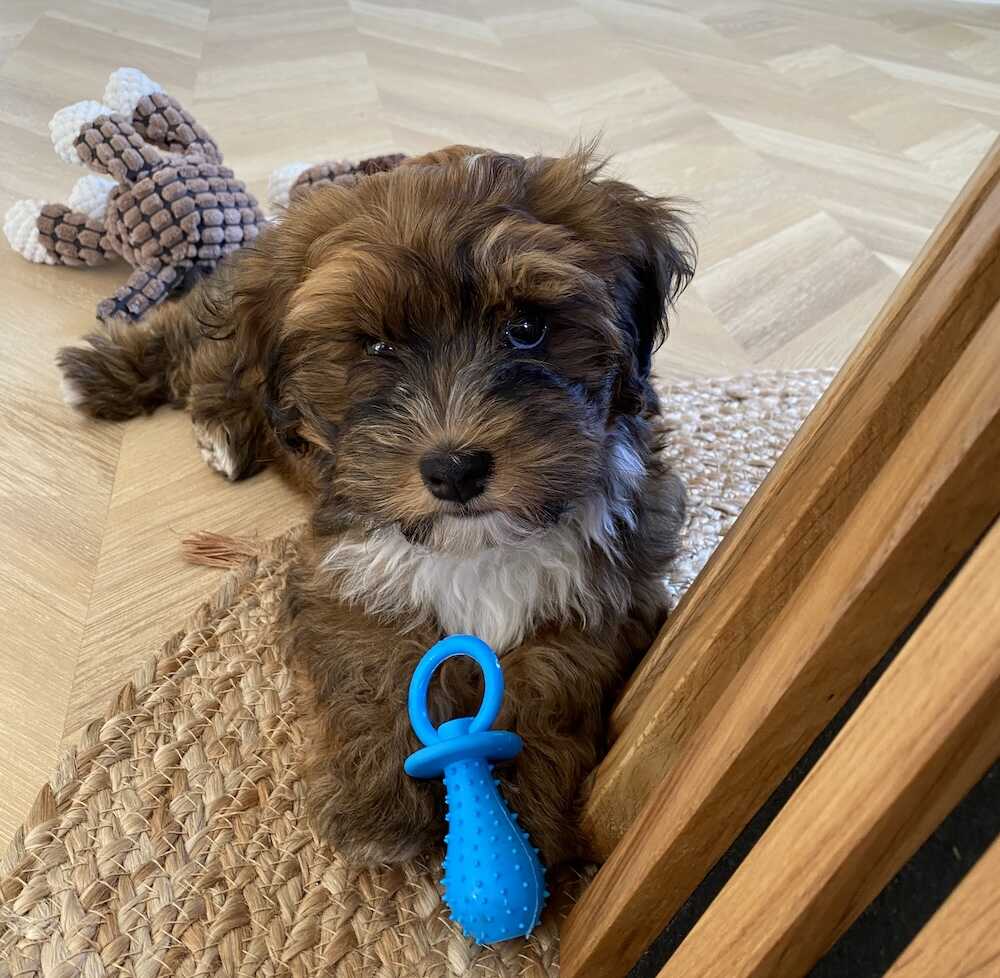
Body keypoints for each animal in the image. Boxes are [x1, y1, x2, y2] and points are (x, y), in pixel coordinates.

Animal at [57, 145, 694, 866]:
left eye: (528, 328)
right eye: (377, 346)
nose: (455, 469)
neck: (473, 545)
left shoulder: (611, 583)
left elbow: (553, 676)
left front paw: (521, 810)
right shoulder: (345, 569)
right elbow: (374, 668)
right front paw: (381, 812)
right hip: (226, 337)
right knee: (194, 343)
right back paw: (111, 379)